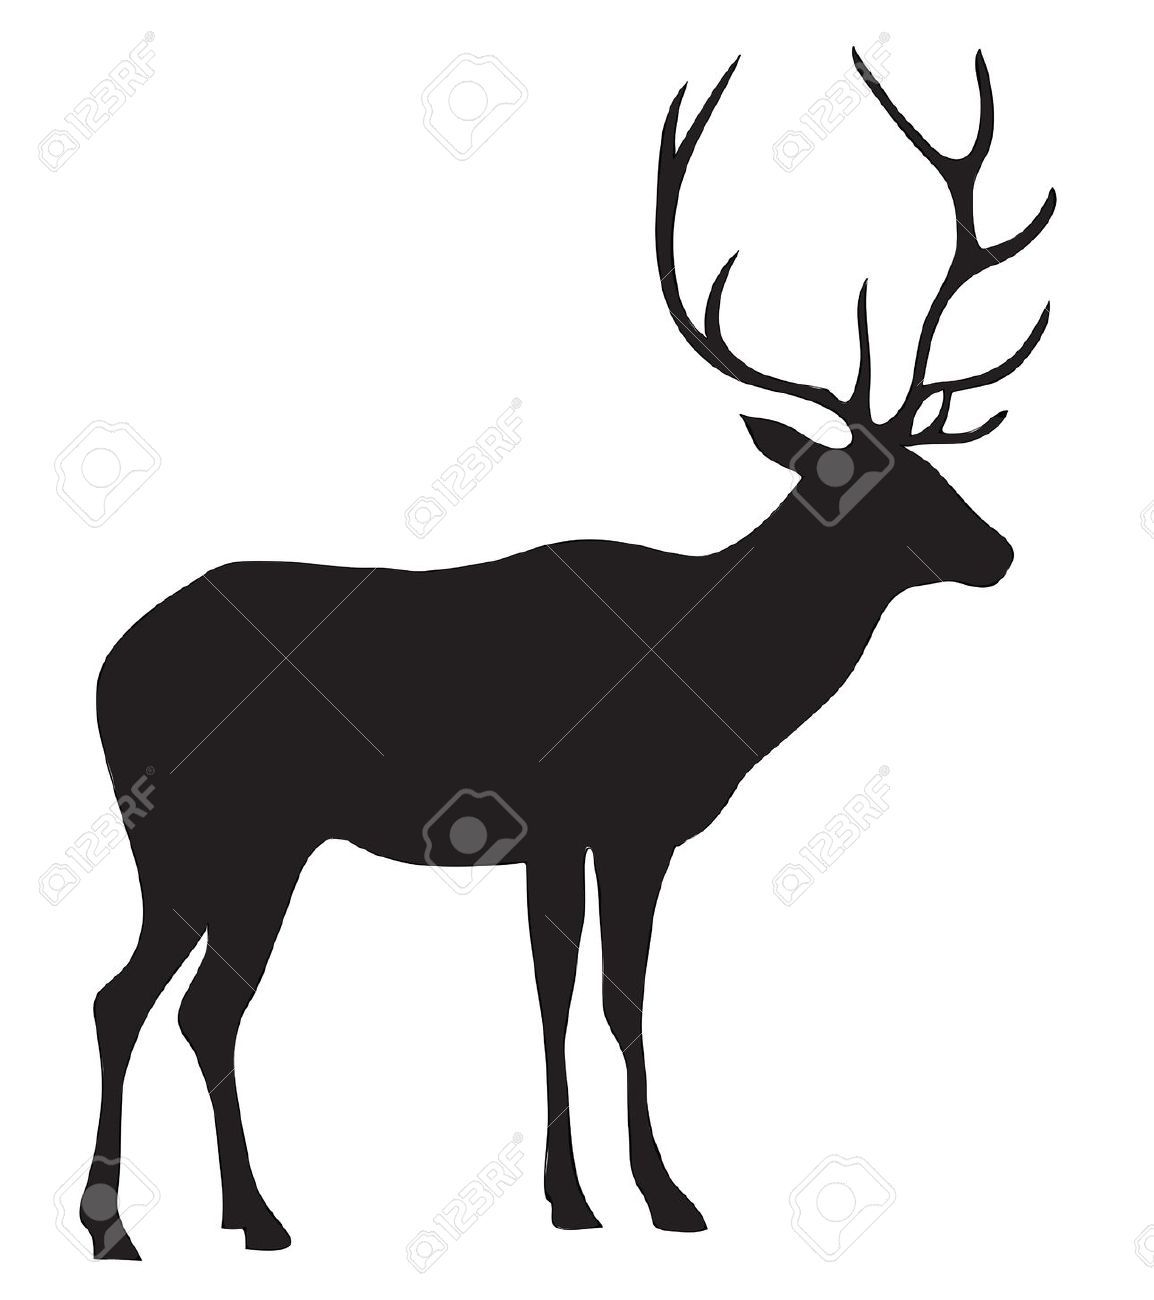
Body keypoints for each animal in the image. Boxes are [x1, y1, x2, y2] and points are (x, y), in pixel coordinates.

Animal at [80, 47, 1053, 1258]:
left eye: (931, 466)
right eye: (855, 479)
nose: (999, 551)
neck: (714, 682)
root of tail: (104, 669)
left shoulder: (589, 836)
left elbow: (583, 996)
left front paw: (602, 1195)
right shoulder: (595, 817)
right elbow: (591, 999)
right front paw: (633, 1198)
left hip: (221, 846)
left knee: (165, 1002)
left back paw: (208, 1219)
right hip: (220, 831)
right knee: (166, 1001)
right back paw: (172, 1222)